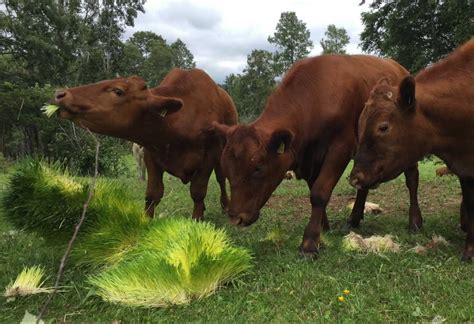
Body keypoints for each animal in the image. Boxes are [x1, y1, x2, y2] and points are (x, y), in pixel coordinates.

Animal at [53, 68, 237, 220]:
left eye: (118, 91)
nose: (60, 94)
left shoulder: (208, 158)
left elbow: (198, 192)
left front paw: (197, 221)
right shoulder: (151, 155)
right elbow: (153, 194)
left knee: (221, 179)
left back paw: (226, 205)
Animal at [213, 56, 420, 258]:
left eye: (258, 168)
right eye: (227, 169)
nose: (235, 217)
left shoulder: (340, 148)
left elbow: (319, 192)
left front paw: (309, 242)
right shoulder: (310, 159)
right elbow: (314, 188)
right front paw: (323, 227)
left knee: (412, 180)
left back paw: (415, 221)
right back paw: (354, 218)